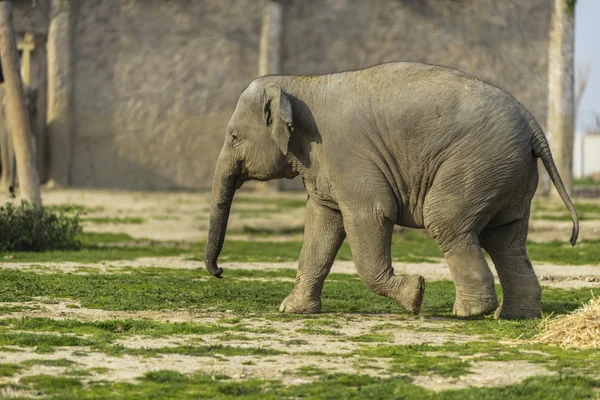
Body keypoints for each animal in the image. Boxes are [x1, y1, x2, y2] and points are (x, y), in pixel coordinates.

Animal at [204, 61, 580, 318]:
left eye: (234, 137)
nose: (220, 272)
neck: (303, 83)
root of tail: (533, 125)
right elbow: (322, 222)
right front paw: (292, 310)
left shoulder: (348, 155)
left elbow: (369, 215)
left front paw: (415, 294)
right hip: (508, 173)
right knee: (505, 239)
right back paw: (516, 315)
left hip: (478, 164)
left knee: (447, 222)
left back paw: (470, 313)